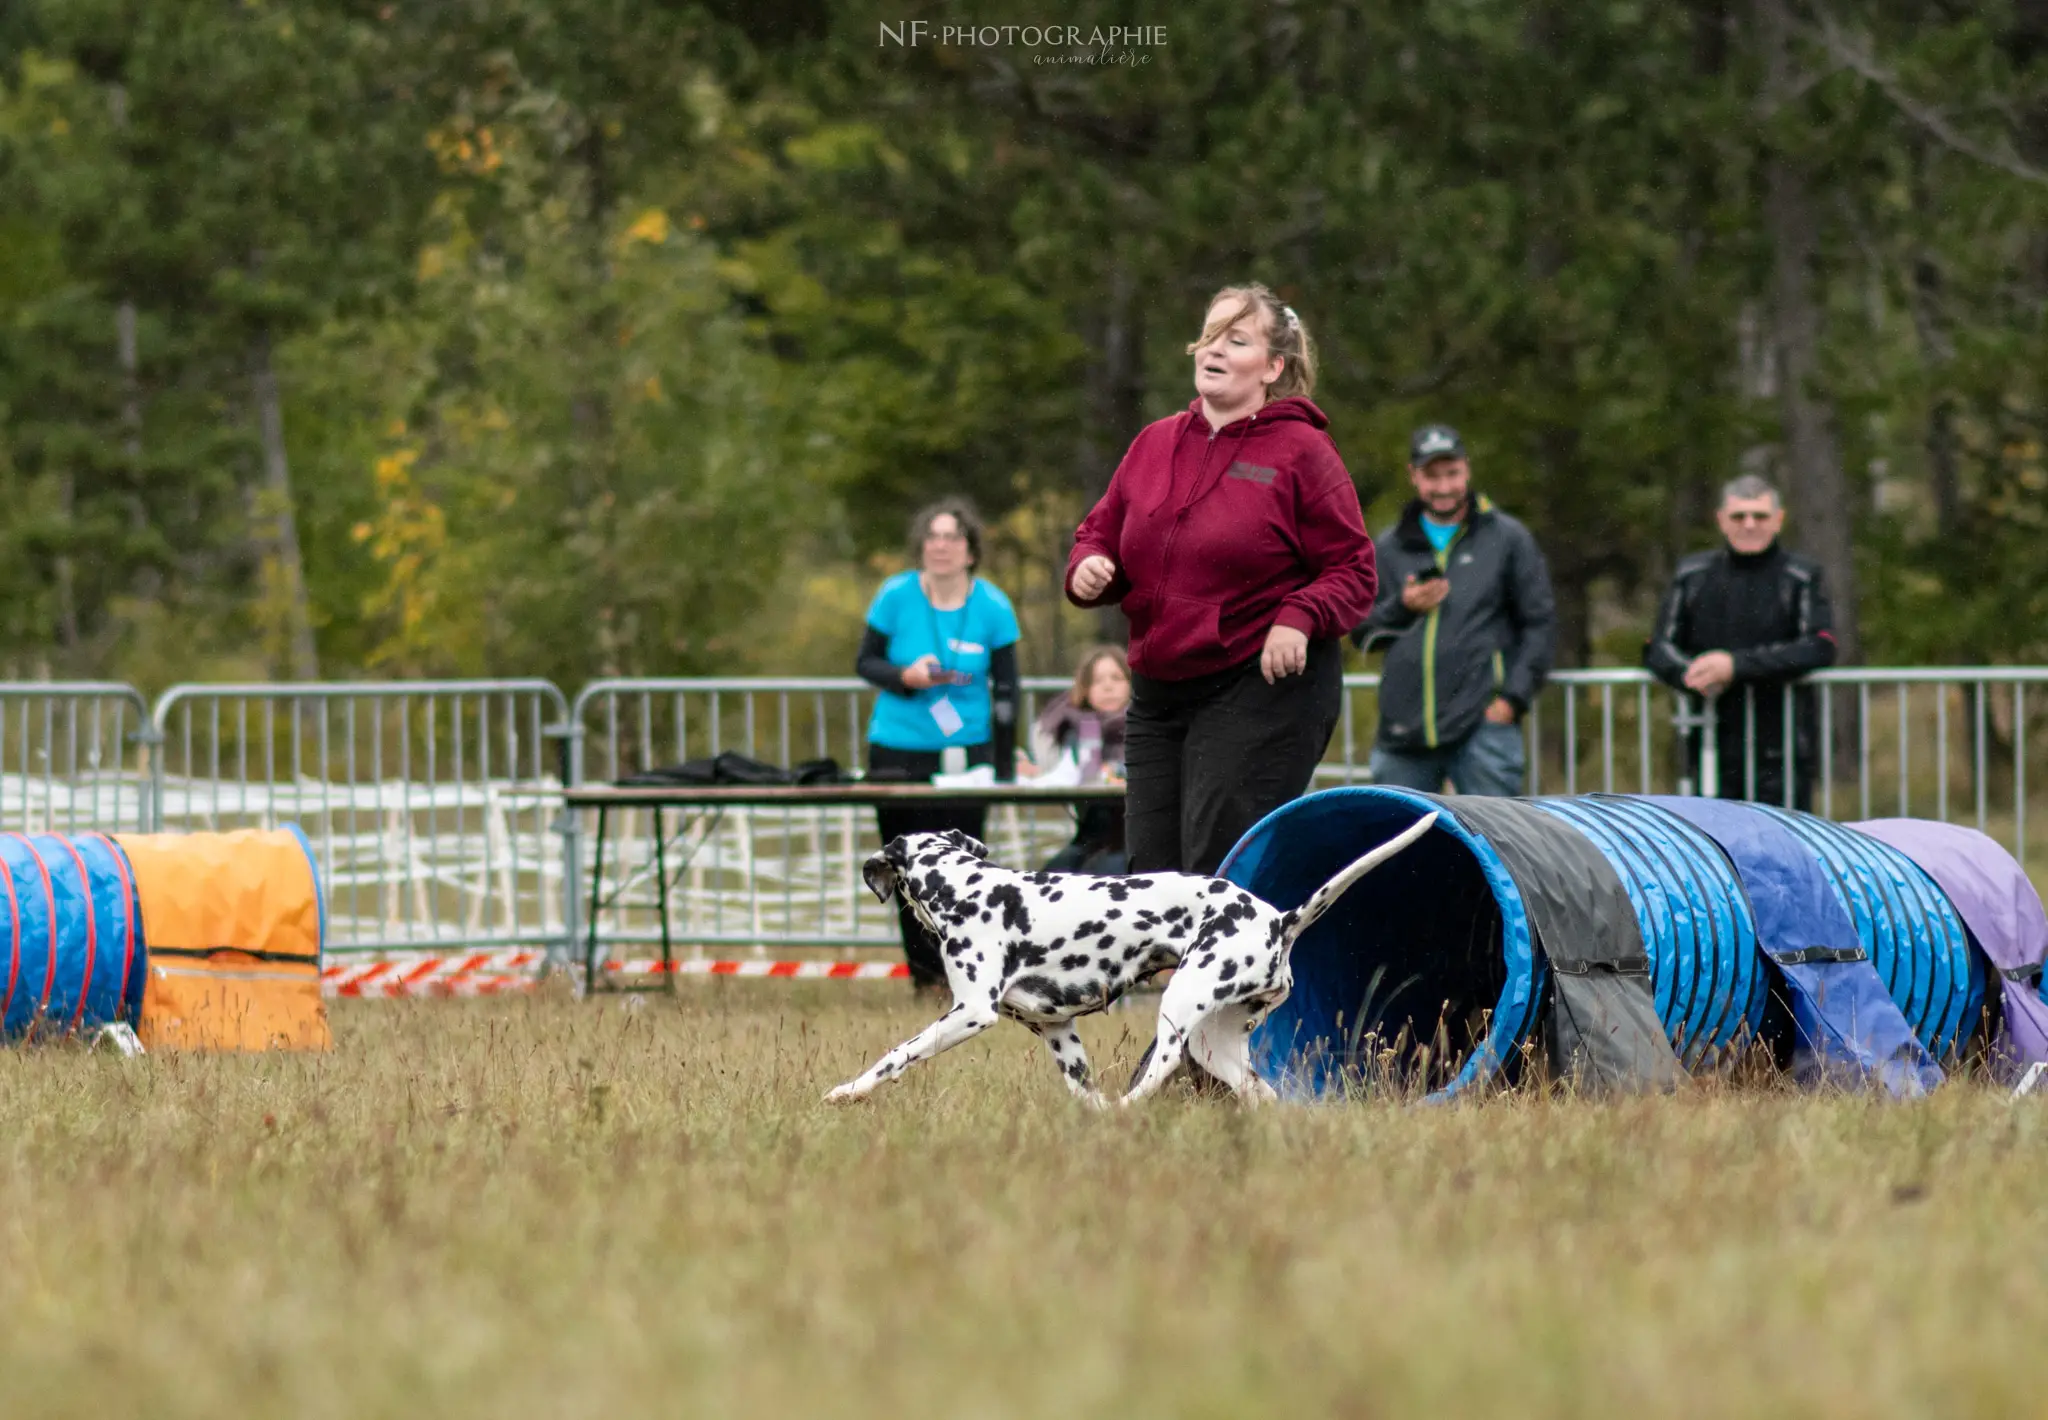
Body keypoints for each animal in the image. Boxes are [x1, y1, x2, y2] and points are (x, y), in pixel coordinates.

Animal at [823, 807, 1433, 1106]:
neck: (965, 886)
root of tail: (1278, 920)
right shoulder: (1058, 1031)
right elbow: (1082, 1092)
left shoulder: (971, 1012)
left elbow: (897, 1055)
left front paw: (849, 1091)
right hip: (1216, 1045)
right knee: (1260, 1093)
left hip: (1178, 1009)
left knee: (1155, 1074)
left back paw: (1128, 1109)